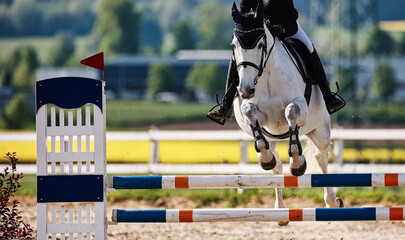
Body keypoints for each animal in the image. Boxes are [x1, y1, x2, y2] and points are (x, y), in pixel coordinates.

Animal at [230, 3, 340, 225]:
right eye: (234, 46)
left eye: (260, 45)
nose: (245, 89)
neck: (266, 73)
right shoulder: (257, 117)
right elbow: (250, 111)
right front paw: (266, 158)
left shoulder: (299, 106)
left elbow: (291, 111)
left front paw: (297, 162)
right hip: (273, 137)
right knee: (276, 164)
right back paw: (279, 209)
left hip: (320, 129)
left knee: (321, 156)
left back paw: (331, 201)